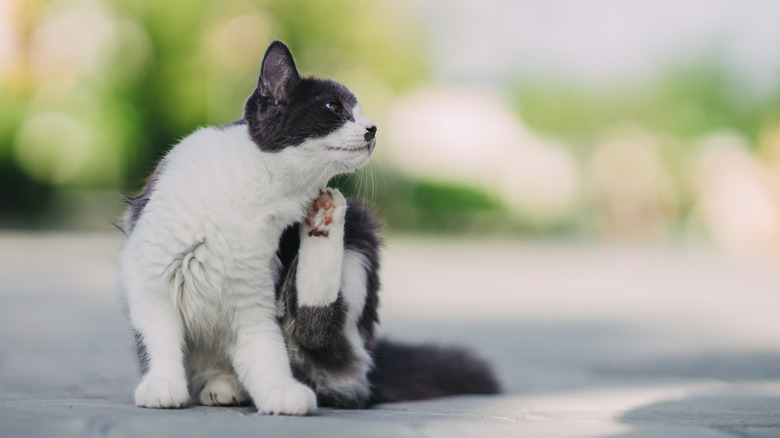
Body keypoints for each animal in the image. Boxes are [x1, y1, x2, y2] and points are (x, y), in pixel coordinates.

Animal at [118, 40, 500, 414]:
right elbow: (158, 337)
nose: (373, 128)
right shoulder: (151, 276)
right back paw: (223, 385)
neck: (260, 190)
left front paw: (280, 391)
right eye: (334, 107)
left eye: (360, 112)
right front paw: (161, 384)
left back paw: (325, 221)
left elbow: (265, 349)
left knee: (319, 332)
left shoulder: (253, 298)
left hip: (361, 226)